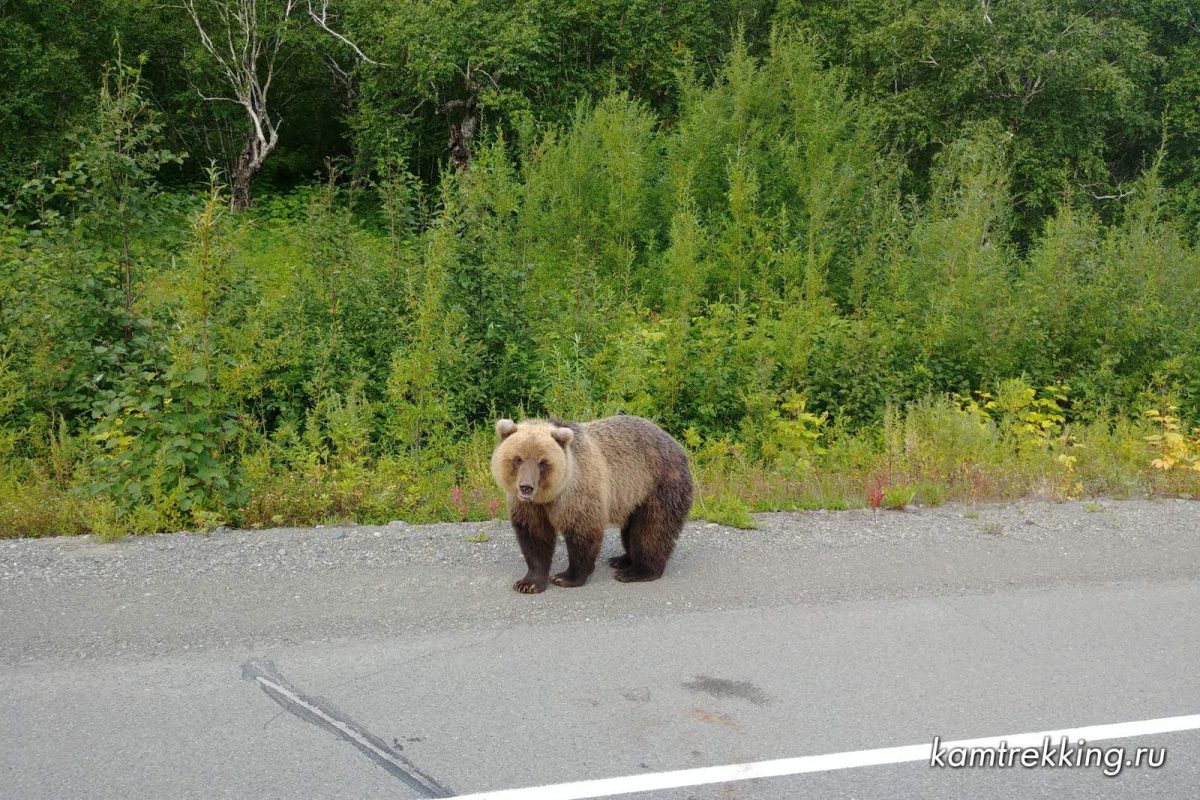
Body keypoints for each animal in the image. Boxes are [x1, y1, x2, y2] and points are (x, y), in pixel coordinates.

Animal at [487, 417, 696, 592]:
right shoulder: (529, 507)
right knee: (631, 530)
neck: (549, 496)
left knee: (651, 529)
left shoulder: (578, 492)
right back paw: (621, 560)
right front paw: (528, 583)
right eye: (517, 458)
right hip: (633, 497)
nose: (526, 487)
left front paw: (566, 577)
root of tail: (677, 445)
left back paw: (636, 571)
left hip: (656, 485)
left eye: (543, 462)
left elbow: (582, 531)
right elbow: (534, 537)